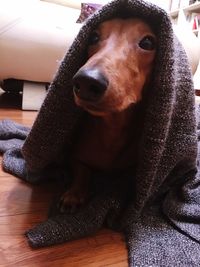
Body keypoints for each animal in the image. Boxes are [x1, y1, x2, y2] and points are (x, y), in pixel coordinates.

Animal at [59, 17, 156, 213]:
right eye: (93, 37)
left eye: (148, 43)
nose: (86, 81)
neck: (113, 127)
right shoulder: (74, 155)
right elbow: (82, 171)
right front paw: (74, 194)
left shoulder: (133, 168)